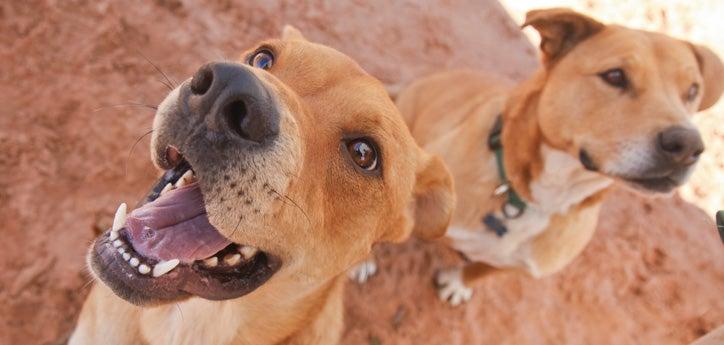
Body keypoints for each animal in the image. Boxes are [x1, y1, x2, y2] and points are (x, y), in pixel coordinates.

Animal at [396, 7, 724, 304]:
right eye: (615, 76)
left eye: (692, 91)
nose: (687, 146)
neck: (540, 198)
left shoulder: (518, 266)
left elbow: (481, 271)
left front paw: (458, 282)